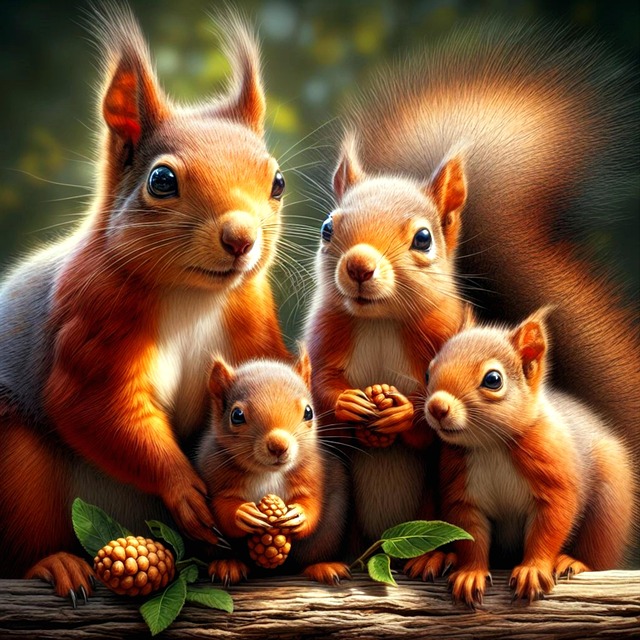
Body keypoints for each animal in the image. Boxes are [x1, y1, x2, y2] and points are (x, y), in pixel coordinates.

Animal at [0, 6, 290, 601]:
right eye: (161, 180)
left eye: (276, 182)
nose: (241, 238)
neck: (193, 295)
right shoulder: (92, 319)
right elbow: (96, 408)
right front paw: (183, 488)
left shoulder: (252, 317)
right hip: (15, 465)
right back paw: (55, 564)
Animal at [196, 349, 350, 585]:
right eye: (236, 415)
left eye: (308, 412)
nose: (278, 445)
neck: (268, 473)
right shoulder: (214, 471)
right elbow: (221, 506)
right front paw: (243, 513)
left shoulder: (312, 471)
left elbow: (311, 502)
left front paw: (298, 514)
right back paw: (227, 564)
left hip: (327, 533)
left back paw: (323, 567)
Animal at [305, 22, 639, 568]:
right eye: (328, 228)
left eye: (423, 238)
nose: (357, 266)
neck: (379, 321)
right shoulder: (323, 335)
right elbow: (320, 392)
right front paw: (351, 403)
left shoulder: (442, 334)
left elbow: (426, 425)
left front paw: (399, 412)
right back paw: (330, 562)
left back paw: (440, 559)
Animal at [420, 308, 635, 606]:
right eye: (428, 373)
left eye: (493, 380)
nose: (437, 407)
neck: (491, 446)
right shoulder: (461, 491)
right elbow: (471, 535)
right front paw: (470, 573)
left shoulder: (553, 473)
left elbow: (549, 526)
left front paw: (533, 570)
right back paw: (438, 557)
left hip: (609, 506)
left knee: (600, 552)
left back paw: (573, 562)